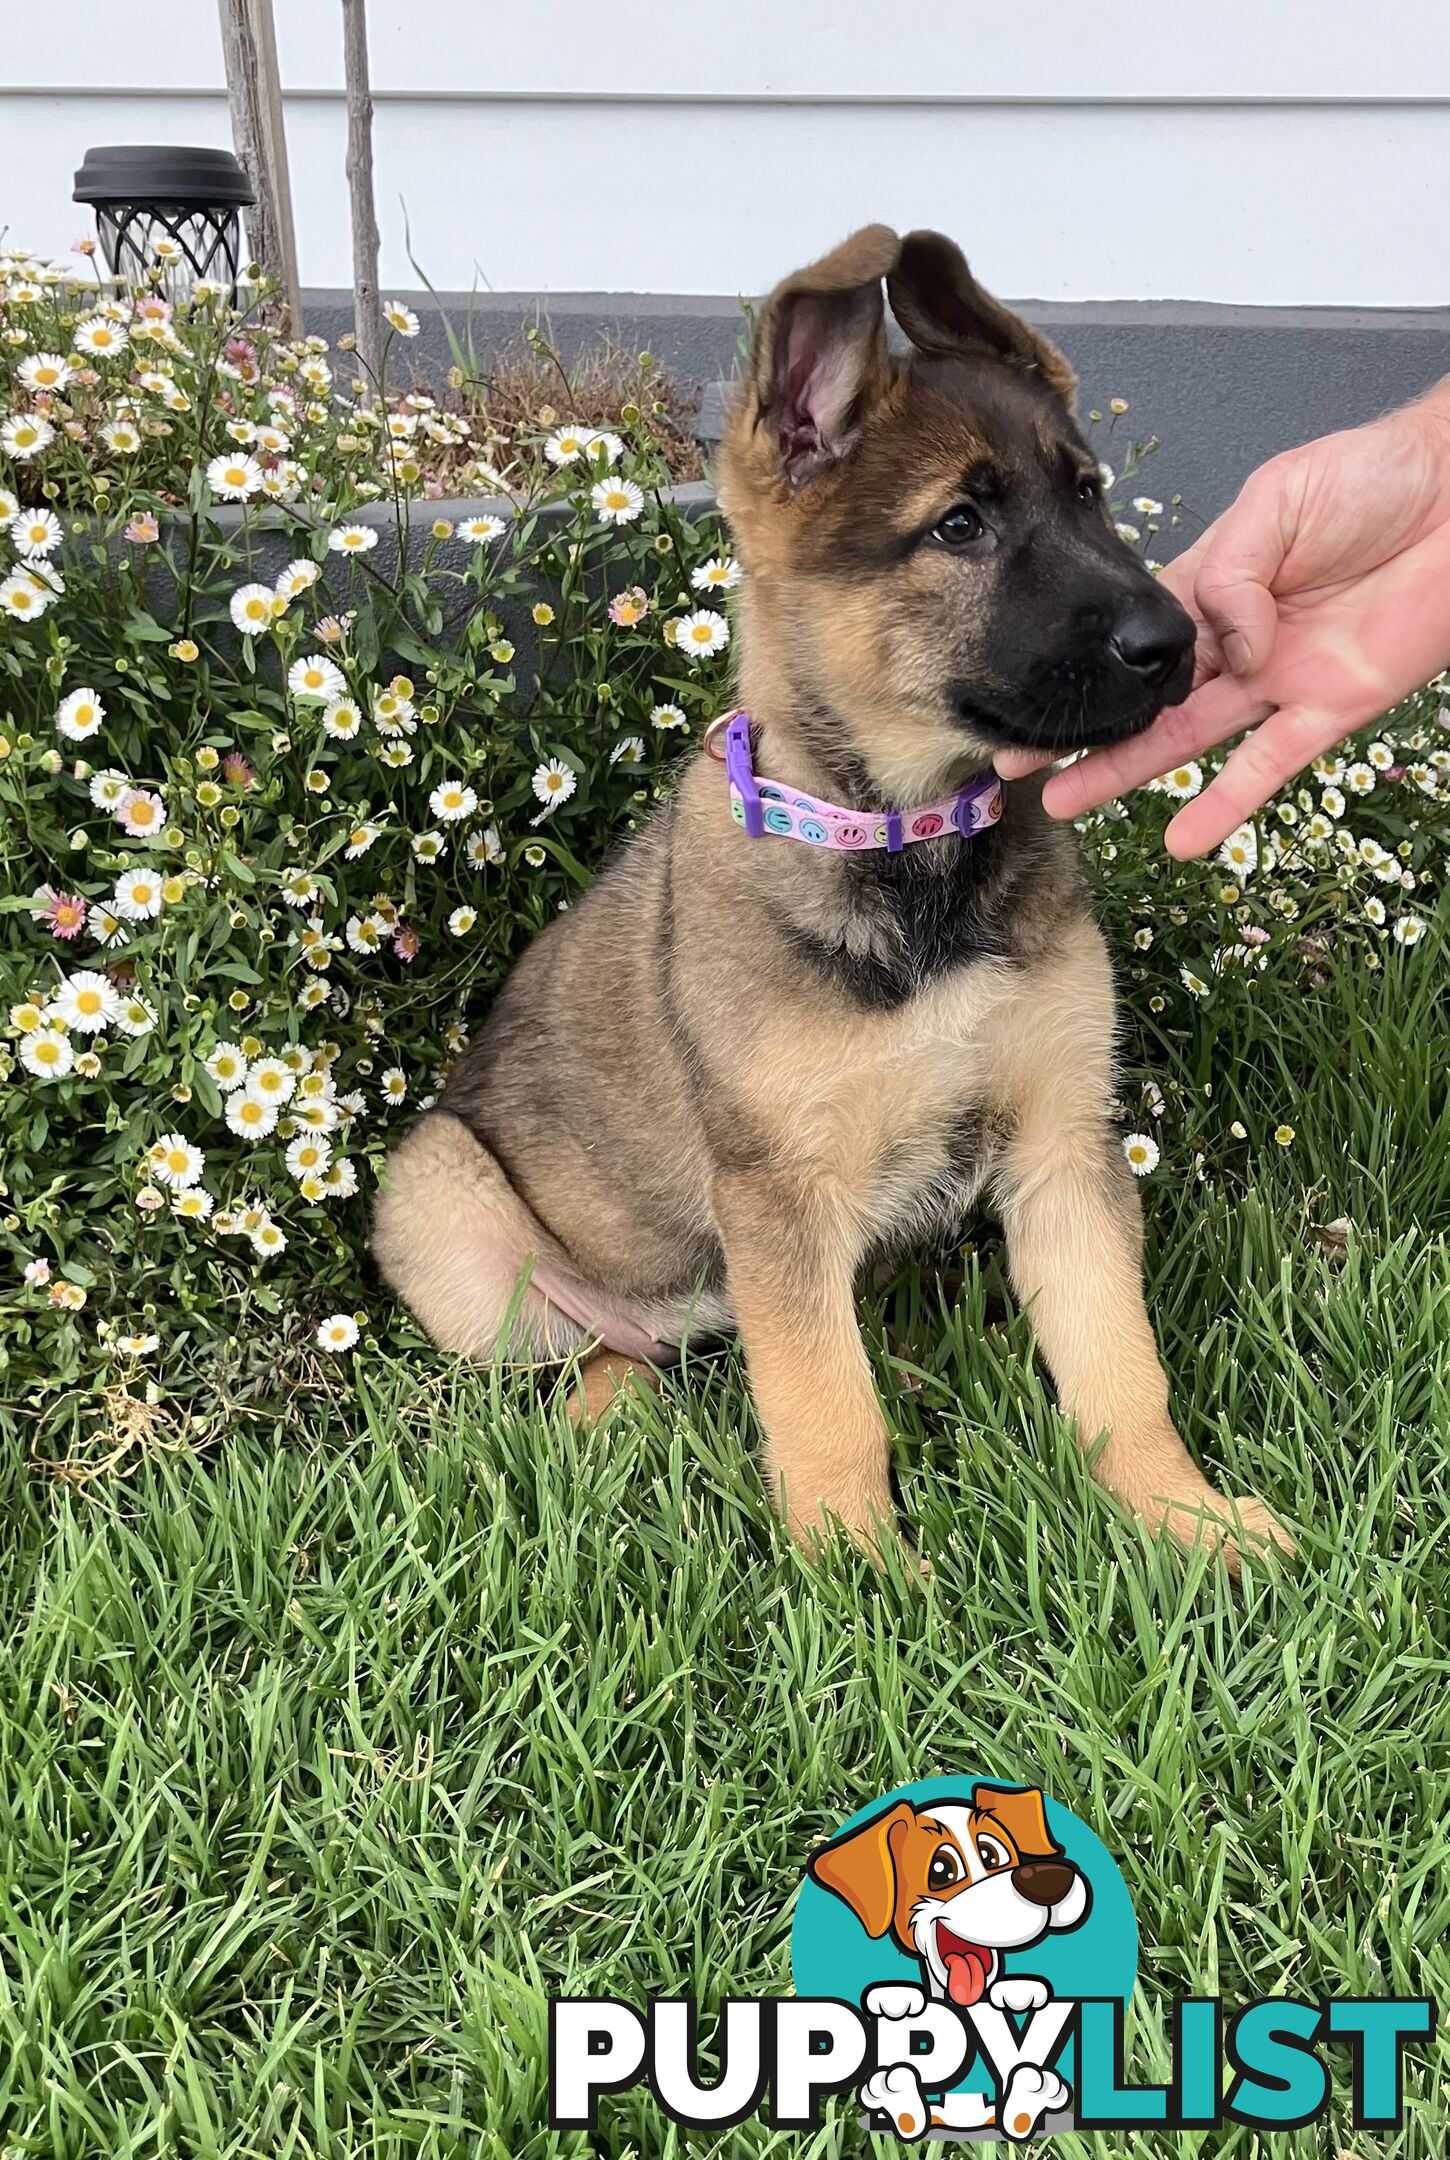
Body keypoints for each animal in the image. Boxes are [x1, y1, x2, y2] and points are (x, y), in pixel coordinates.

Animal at [378, 219, 1296, 1572]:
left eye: (1086, 493)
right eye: (959, 525)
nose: (1174, 644)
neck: (916, 847)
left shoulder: (1060, 1147)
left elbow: (1118, 1367)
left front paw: (1183, 1518)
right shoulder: (780, 1194)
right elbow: (822, 1406)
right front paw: (863, 1580)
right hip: (445, 1210)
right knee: (589, 1361)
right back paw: (614, 1419)